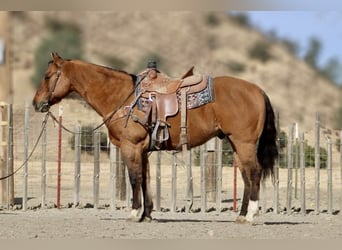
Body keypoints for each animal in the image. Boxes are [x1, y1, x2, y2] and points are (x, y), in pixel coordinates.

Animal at [32, 52, 278, 223]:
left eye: (47, 76)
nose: (36, 103)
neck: (123, 97)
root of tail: (258, 90)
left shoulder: (130, 147)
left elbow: (134, 178)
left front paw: (134, 213)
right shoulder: (143, 151)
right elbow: (145, 179)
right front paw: (147, 214)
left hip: (244, 143)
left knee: (254, 173)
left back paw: (250, 215)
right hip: (237, 144)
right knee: (246, 176)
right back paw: (242, 215)